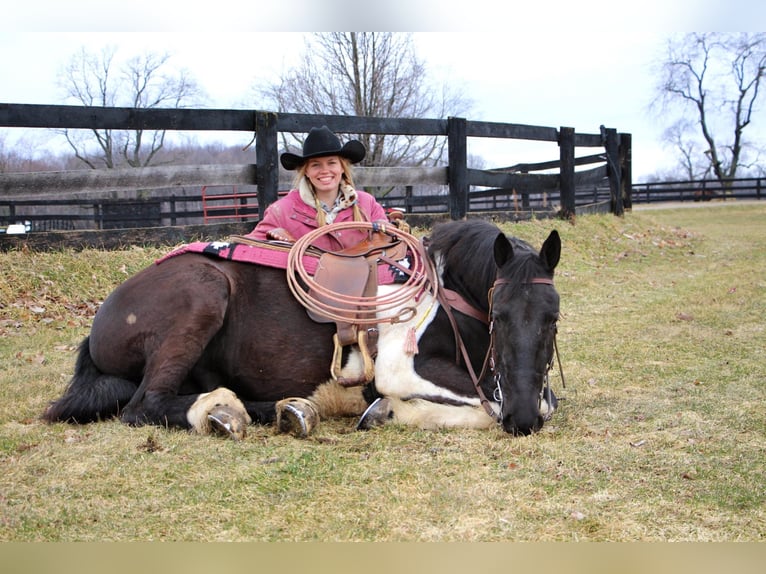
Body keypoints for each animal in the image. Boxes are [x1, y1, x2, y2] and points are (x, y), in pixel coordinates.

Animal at [45, 219, 560, 436]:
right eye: (499, 315)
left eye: (552, 318)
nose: (522, 421)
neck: (445, 291)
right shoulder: (402, 369)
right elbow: (487, 405)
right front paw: (390, 410)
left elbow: (542, 400)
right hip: (201, 296)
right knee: (143, 405)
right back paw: (222, 413)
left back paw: (293, 408)